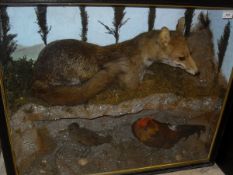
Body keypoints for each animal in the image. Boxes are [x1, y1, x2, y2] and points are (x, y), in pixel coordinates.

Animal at [31, 17, 198, 105]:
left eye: (191, 53)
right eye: (181, 57)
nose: (197, 72)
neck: (143, 58)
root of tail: (37, 69)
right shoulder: (131, 84)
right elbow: (144, 85)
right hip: (72, 77)